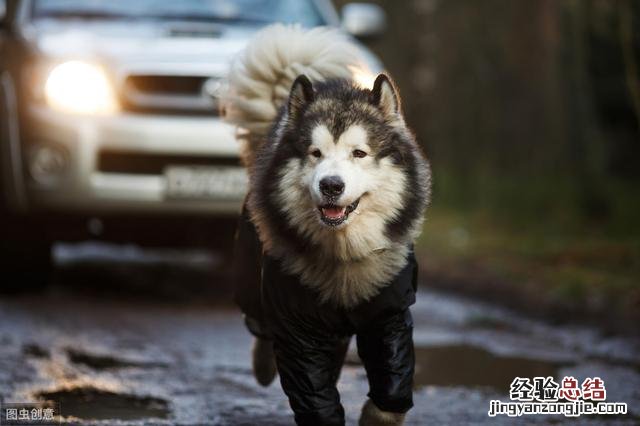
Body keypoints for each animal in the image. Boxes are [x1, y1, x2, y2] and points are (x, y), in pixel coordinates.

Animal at [224, 24, 430, 426]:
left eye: (359, 153)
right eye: (315, 153)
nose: (331, 185)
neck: (343, 254)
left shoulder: (389, 314)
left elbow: (392, 388)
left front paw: (378, 415)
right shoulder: (296, 324)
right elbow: (313, 393)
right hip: (251, 283)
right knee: (261, 328)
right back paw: (263, 362)